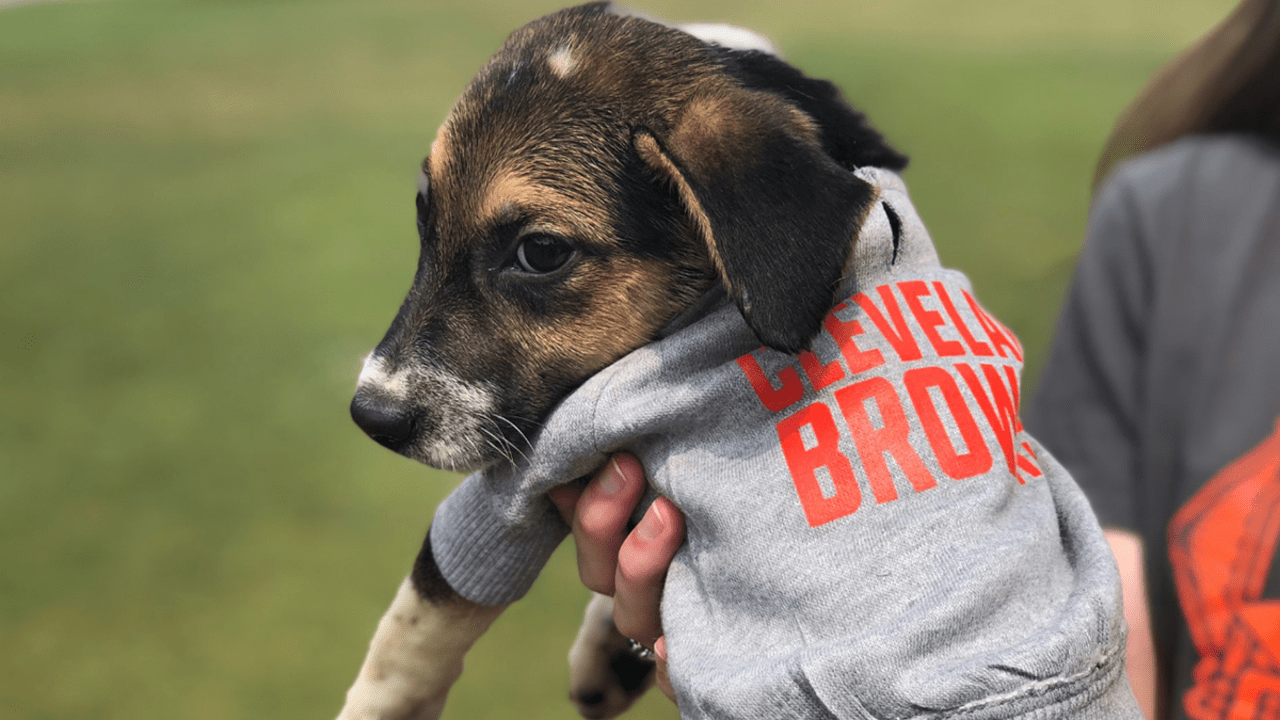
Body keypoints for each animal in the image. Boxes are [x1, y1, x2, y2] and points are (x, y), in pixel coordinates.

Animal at [335, 5, 1136, 717]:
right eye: (424, 219)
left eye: (541, 252)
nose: (371, 416)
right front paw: (614, 650)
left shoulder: (535, 464)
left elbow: (417, 621)